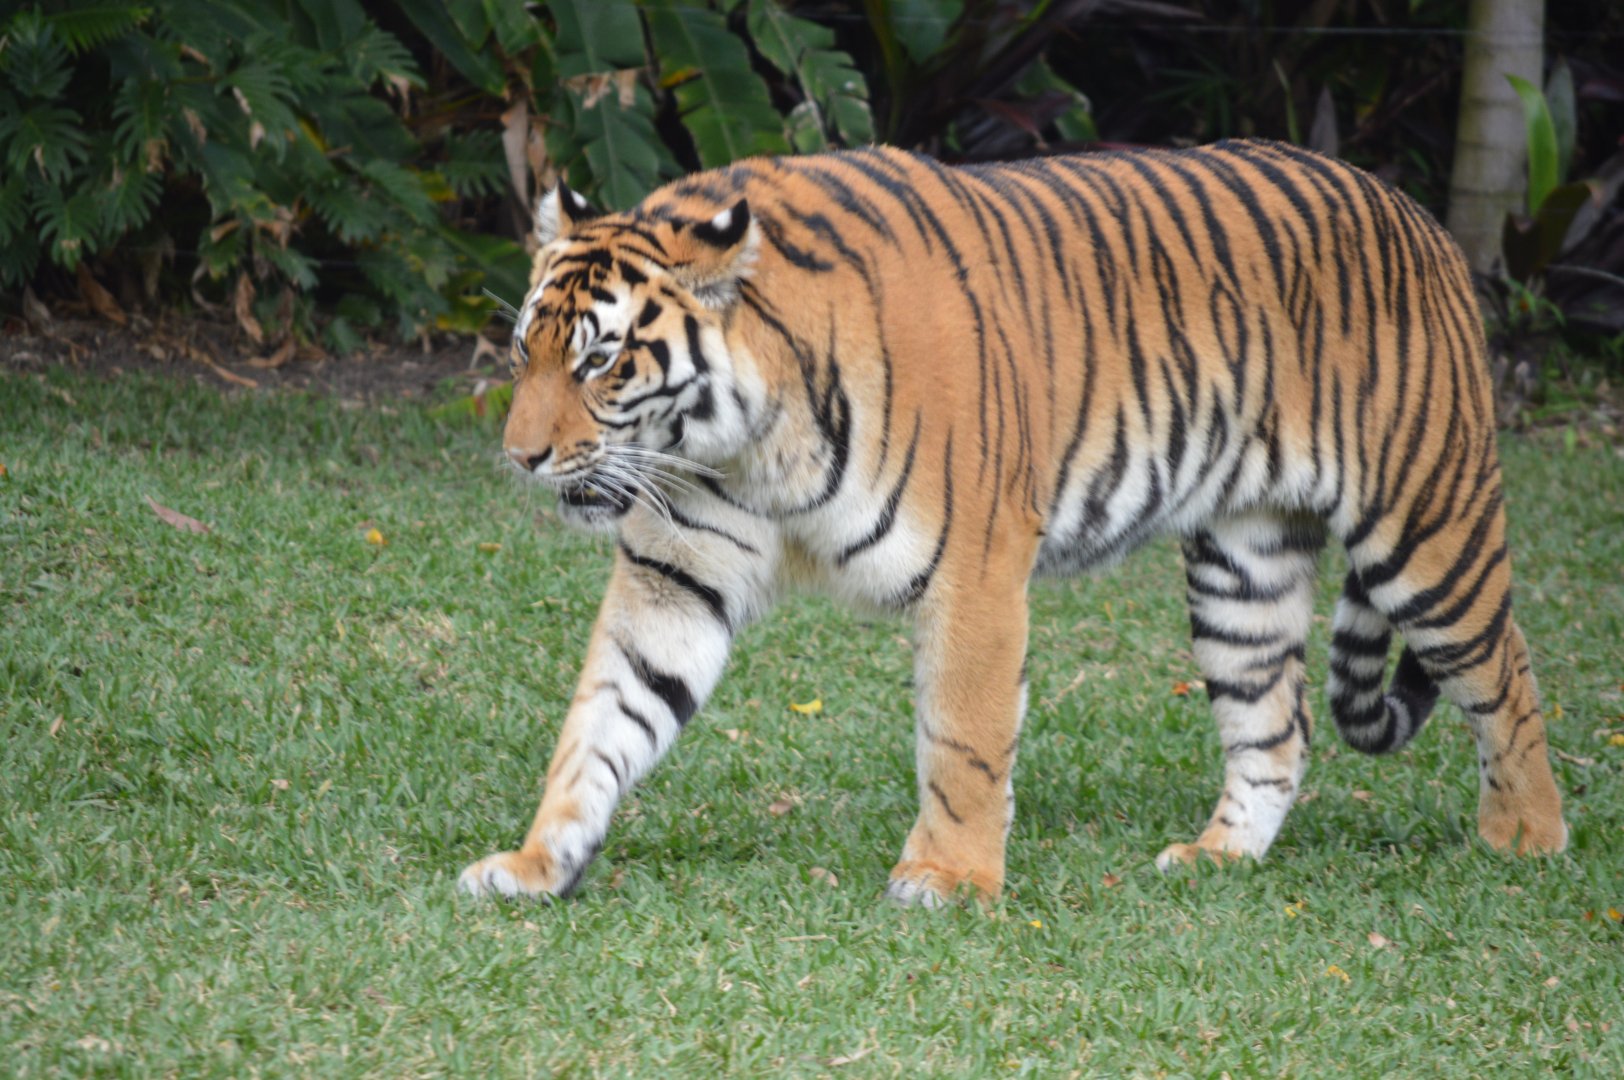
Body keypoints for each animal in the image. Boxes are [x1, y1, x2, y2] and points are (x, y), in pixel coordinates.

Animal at [457, 139, 1568, 907]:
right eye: (524, 353)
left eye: (600, 362)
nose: (518, 456)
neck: (744, 441)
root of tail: (1415, 211)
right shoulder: (676, 576)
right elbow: (602, 720)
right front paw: (536, 862)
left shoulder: (977, 568)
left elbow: (963, 735)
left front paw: (947, 881)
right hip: (1242, 567)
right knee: (1275, 721)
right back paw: (1217, 857)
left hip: (1424, 527)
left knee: (1504, 672)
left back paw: (1528, 840)